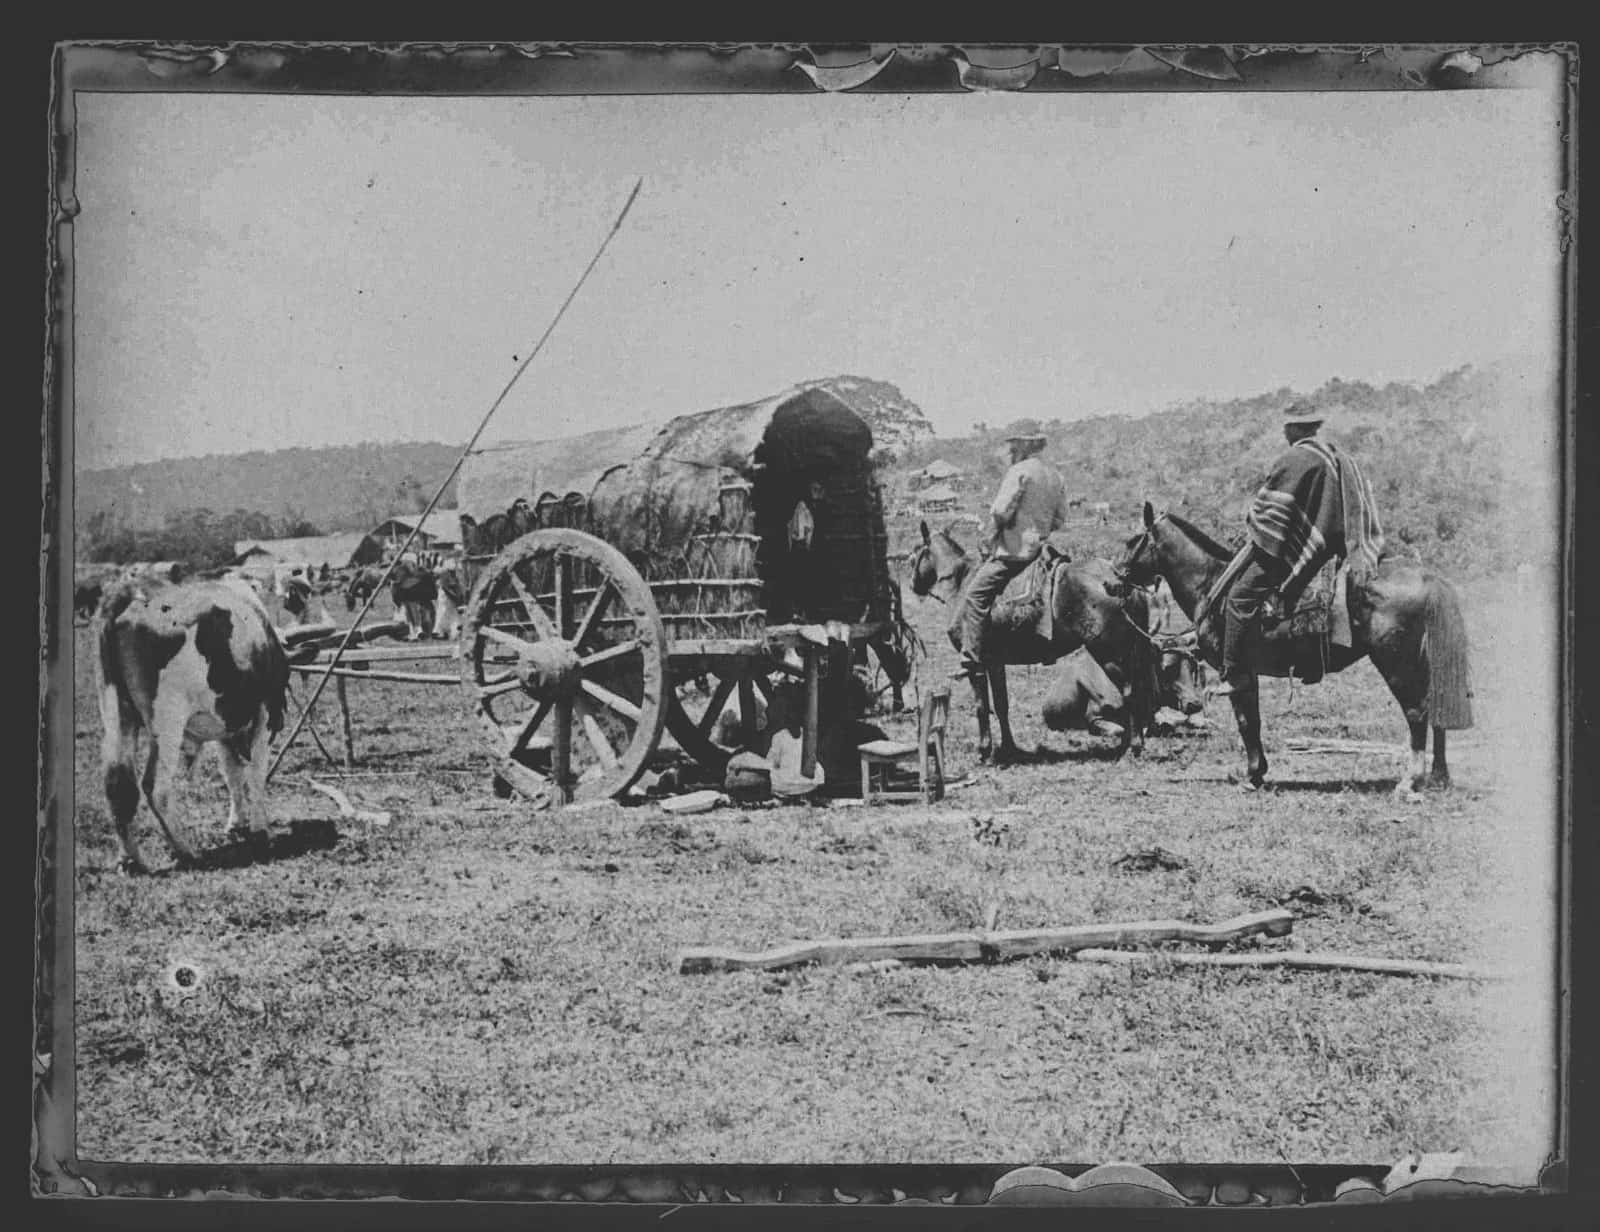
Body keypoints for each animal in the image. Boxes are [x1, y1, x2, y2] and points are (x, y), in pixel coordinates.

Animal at [97, 579, 291, 870]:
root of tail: (127, 596)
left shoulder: (225, 728)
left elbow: (232, 773)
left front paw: (236, 823)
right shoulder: (265, 713)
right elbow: (256, 772)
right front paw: (261, 830)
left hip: (118, 716)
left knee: (117, 784)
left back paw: (130, 859)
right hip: (168, 722)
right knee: (155, 786)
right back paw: (187, 851)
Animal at [915, 515, 1152, 758]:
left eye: (915, 552)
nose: (914, 585)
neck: (962, 584)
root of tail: (1118, 579)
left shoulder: (976, 665)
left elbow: (982, 706)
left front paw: (985, 749)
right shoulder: (995, 663)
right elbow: (1001, 705)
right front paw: (1008, 747)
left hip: (1110, 655)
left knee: (1130, 692)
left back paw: (1133, 746)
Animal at [1113, 505, 1472, 793]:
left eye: (1132, 540)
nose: (1110, 580)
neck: (1212, 584)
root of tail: (1427, 577)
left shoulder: (1237, 673)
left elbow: (1245, 722)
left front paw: (1252, 777)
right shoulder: (1248, 676)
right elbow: (1253, 721)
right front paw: (1257, 773)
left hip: (1396, 664)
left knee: (1416, 713)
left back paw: (1410, 781)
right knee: (1435, 707)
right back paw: (1439, 776)